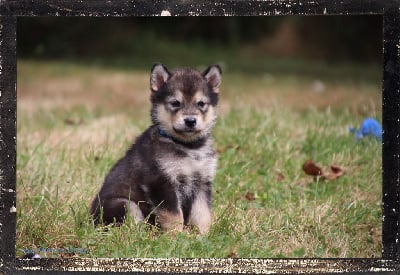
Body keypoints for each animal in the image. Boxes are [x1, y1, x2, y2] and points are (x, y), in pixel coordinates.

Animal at [90, 64, 222, 235]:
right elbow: (173, 214)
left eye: (201, 103)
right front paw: (176, 235)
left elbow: (202, 213)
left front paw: (203, 235)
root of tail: (90, 220)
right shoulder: (161, 181)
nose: (190, 121)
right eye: (175, 103)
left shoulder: (202, 182)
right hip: (125, 204)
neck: (188, 148)